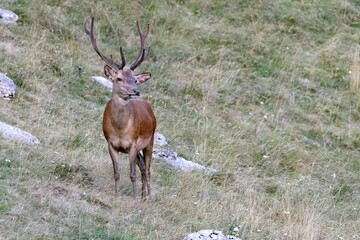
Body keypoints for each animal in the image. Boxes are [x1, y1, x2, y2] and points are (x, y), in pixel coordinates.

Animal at [85, 16, 157, 200]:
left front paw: (134, 197)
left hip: (150, 140)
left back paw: (148, 196)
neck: (120, 129)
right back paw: (144, 196)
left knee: (148, 169)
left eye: (134, 79)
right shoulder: (110, 143)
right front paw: (117, 195)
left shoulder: (132, 143)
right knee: (143, 167)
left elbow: (131, 173)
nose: (136, 91)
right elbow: (117, 172)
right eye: (118, 78)